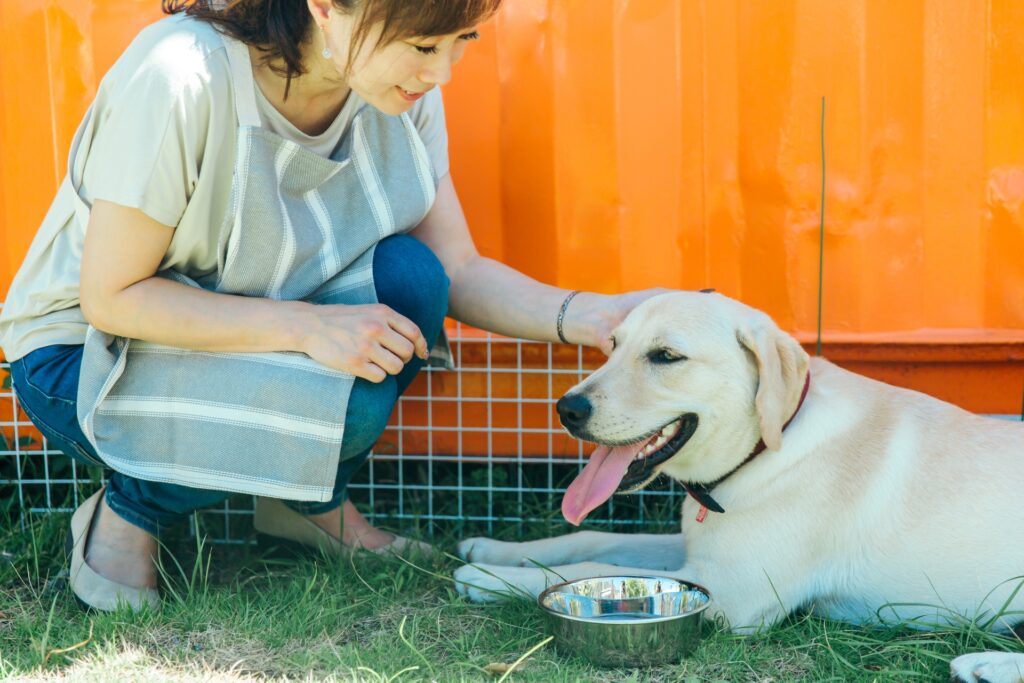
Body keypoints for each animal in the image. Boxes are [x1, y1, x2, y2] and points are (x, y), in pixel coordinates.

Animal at [454, 290, 1024, 683]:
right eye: (612, 346)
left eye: (665, 356)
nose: (567, 409)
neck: (769, 445)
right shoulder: (699, 551)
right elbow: (592, 540)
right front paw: (494, 550)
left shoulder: (733, 592)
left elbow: (588, 570)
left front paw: (488, 577)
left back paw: (986, 664)